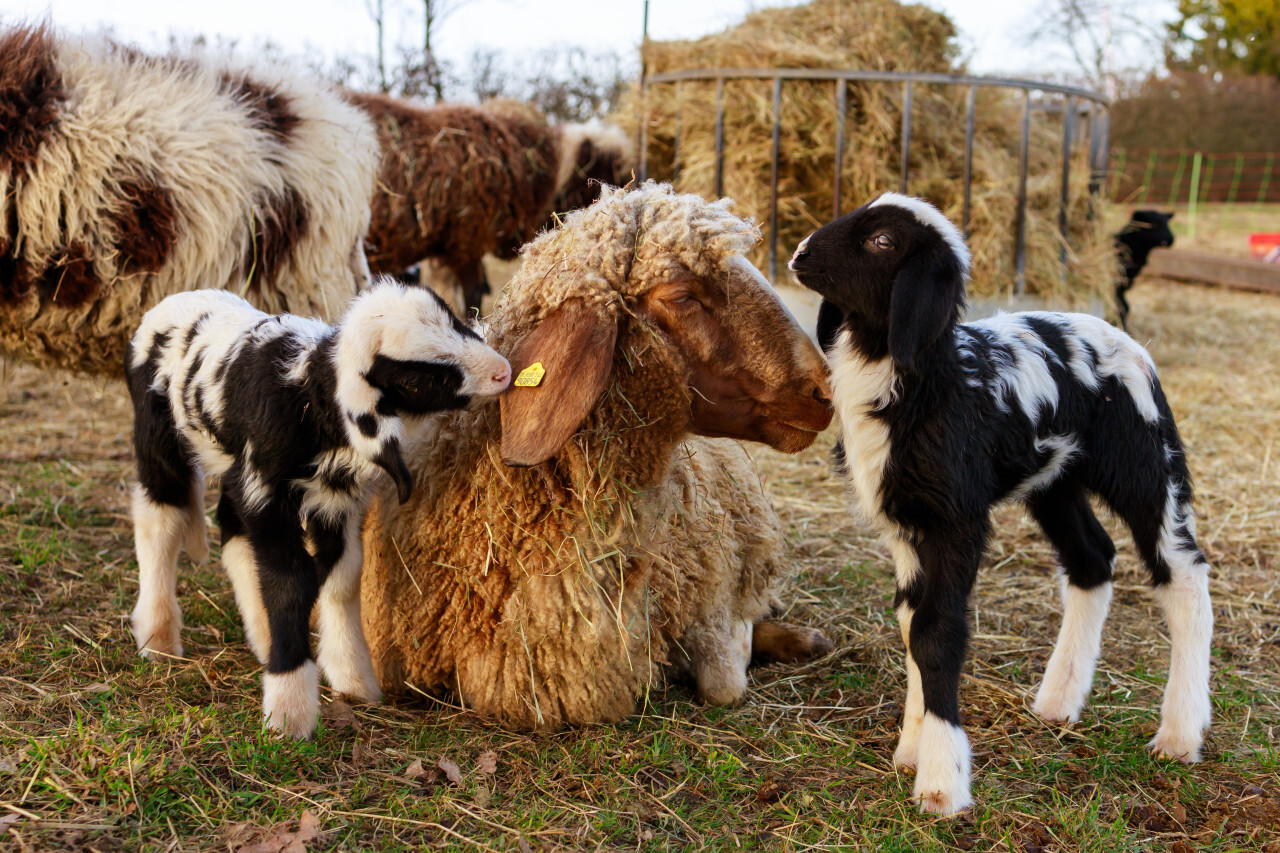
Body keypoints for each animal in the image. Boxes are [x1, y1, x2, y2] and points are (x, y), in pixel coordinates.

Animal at [124, 275, 509, 732]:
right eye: (416, 381)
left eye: (456, 321)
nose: (504, 372)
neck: (308, 398)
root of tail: (175, 300)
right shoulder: (266, 492)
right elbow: (290, 584)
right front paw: (289, 710)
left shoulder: (333, 501)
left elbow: (341, 578)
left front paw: (353, 678)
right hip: (159, 437)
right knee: (159, 520)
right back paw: (159, 638)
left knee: (232, 530)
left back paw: (261, 636)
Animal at [788, 190, 1208, 809]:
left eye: (882, 241)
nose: (798, 254)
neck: (928, 385)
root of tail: (1122, 339)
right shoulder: (906, 524)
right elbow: (912, 623)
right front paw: (912, 748)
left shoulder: (957, 518)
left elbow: (937, 632)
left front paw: (941, 782)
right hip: (1055, 480)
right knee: (1092, 559)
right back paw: (1058, 701)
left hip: (1145, 463)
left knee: (1182, 573)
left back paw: (1180, 733)